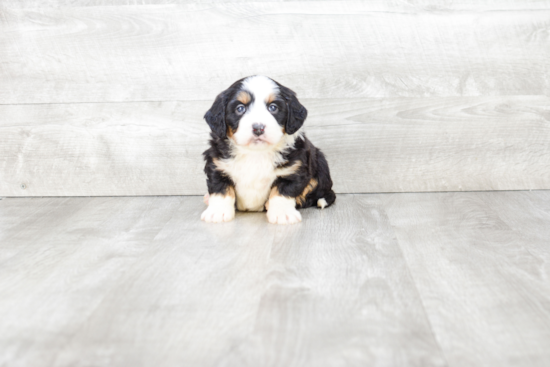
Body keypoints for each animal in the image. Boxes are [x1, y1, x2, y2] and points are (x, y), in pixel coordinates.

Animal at [201, 75, 334, 224]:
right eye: (240, 108)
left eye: (273, 107)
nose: (258, 128)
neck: (255, 153)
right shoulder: (217, 165)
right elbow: (220, 190)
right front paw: (217, 212)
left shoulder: (293, 169)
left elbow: (283, 192)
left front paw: (282, 213)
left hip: (320, 164)